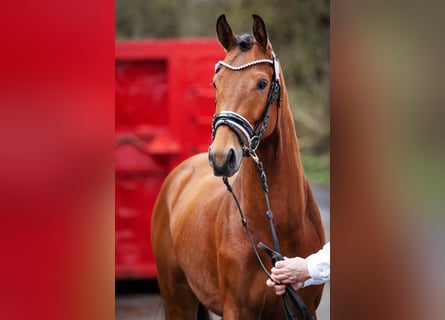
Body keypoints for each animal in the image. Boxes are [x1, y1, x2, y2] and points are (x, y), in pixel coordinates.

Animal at [151, 13, 324, 318]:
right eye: (215, 83)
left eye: (262, 84)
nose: (221, 157)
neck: (279, 225)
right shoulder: (236, 309)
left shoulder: (307, 309)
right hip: (178, 300)